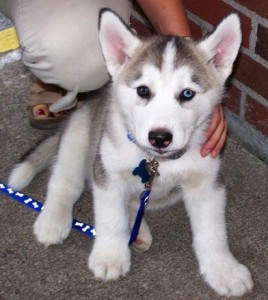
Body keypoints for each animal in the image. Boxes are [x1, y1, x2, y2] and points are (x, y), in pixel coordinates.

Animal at [9, 9, 253, 298]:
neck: (157, 161)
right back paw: (53, 221)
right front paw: (110, 257)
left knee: (134, 203)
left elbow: (213, 232)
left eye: (187, 94)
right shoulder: (107, 174)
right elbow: (110, 218)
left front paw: (224, 270)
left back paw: (138, 232)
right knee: (64, 183)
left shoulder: (206, 181)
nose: (160, 137)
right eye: (143, 90)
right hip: (77, 136)